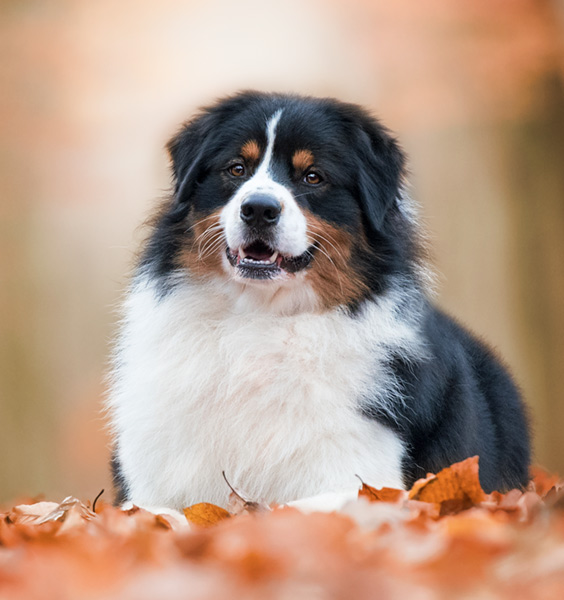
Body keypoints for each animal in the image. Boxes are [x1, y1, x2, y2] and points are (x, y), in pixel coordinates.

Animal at [106, 90, 528, 510]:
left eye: (313, 176)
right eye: (236, 169)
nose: (258, 208)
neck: (259, 317)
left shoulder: (357, 477)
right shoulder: (152, 483)